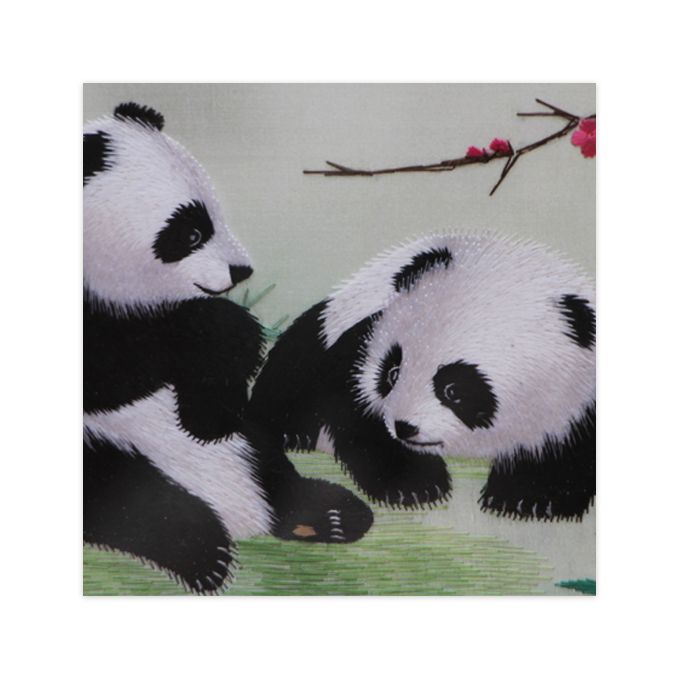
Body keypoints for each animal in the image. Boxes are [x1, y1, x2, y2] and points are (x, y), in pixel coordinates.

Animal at [84, 102, 373, 594]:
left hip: (250, 445)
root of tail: (244, 516)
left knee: (264, 453)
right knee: (121, 493)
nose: (242, 271)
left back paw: (325, 513)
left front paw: (206, 412)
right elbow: (110, 370)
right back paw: (203, 553)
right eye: (191, 233)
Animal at [249, 232, 595, 521]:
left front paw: (531, 497)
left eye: (454, 389)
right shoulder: (366, 332)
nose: (404, 428)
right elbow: (355, 409)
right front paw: (414, 484)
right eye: (392, 372)